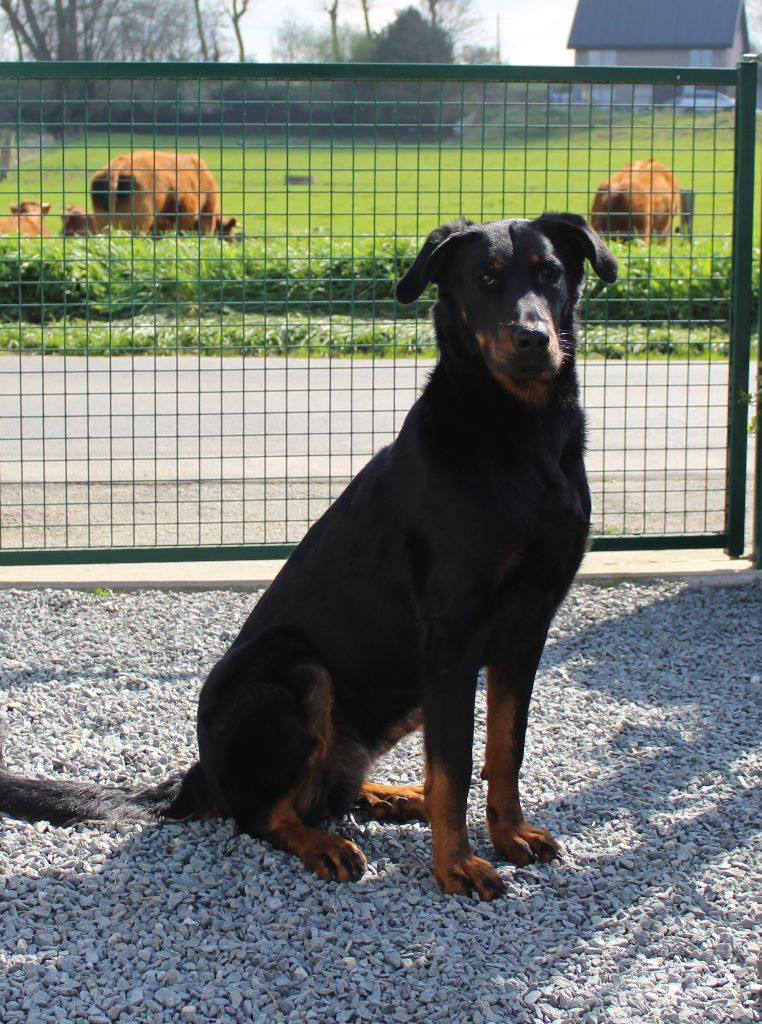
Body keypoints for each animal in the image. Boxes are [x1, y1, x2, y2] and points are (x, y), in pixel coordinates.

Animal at [0, 211, 614, 901]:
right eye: (486, 279)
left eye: (550, 274)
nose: (533, 338)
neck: (521, 434)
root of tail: (198, 774)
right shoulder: (452, 636)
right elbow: (456, 765)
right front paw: (457, 865)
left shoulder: (527, 628)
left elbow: (506, 749)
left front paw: (509, 836)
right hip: (295, 670)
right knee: (265, 814)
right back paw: (327, 844)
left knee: (333, 790)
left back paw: (394, 797)